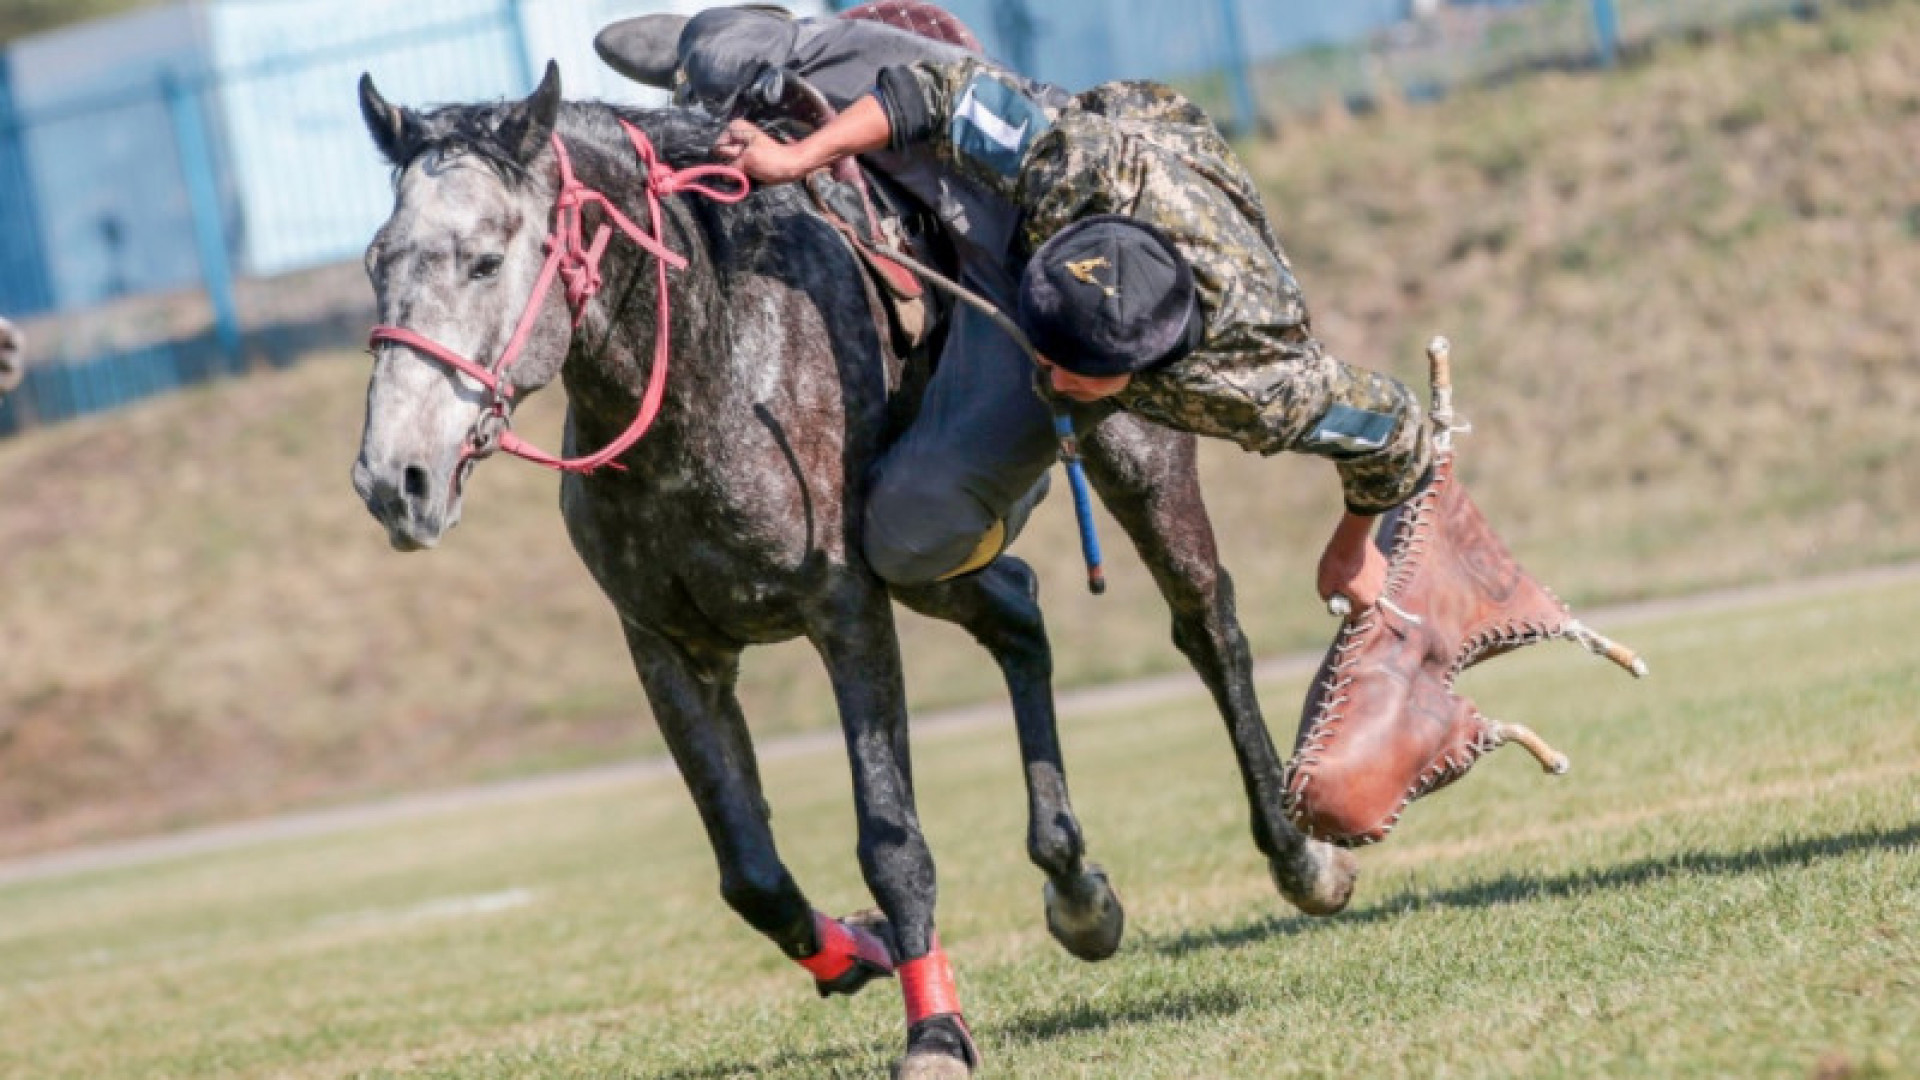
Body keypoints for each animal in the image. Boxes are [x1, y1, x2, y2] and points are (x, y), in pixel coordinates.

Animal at [353, 62, 1359, 1068]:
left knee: (1207, 625)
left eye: (486, 261)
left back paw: (1298, 854)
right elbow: (749, 871)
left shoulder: (846, 613)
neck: (717, 357)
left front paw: (938, 1028)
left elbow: (891, 840)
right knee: (1020, 612)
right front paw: (859, 950)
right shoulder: (666, 646)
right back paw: (1075, 885)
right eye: (376, 263)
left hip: (1138, 457)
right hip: (934, 552)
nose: (394, 479)